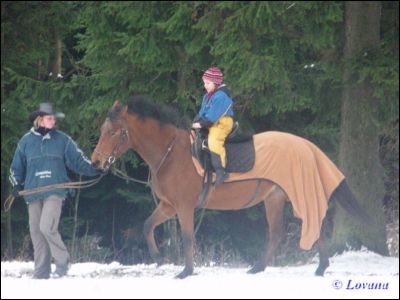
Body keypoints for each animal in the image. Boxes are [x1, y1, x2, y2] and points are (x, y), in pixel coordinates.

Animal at [90, 96, 368, 278]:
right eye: (103, 129)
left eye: (113, 132)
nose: (96, 161)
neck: (171, 153)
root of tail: (307, 147)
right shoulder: (169, 206)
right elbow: (148, 225)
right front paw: (158, 259)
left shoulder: (184, 206)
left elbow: (188, 236)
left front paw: (186, 271)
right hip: (275, 198)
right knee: (279, 232)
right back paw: (261, 267)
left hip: (298, 196)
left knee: (311, 225)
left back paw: (319, 267)